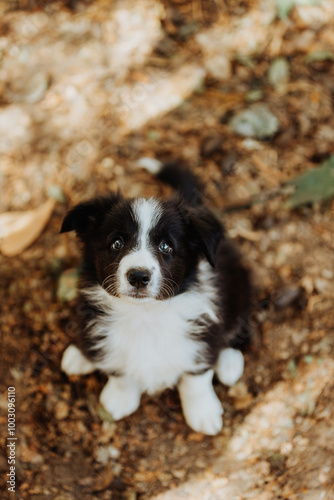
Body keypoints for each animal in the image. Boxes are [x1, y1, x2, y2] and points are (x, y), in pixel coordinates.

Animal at [61, 163, 252, 434]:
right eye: (116, 243)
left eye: (166, 247)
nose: (138, 276)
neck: (145, 314)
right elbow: (118, 369)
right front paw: (119, 399)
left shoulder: (201, 339)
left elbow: (196, 377)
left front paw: (203, 412)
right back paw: (80, 357)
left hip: (240, 288)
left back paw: (229, 362)